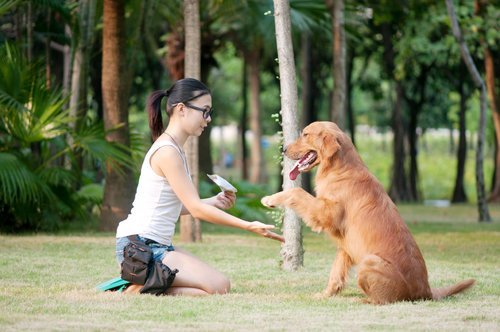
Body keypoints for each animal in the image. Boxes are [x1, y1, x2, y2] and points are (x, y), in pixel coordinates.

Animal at [260, 121, 474, 304]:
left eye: (305, 134)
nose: (283, 149)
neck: (339, 168)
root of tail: (426, 291)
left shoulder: (324, 212)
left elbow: (296, 191)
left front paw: (270, 199)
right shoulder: (345, 246)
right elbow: (335, 274)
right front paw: (326, 294)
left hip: (368, 261)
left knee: (383, 301)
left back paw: (360, 299)